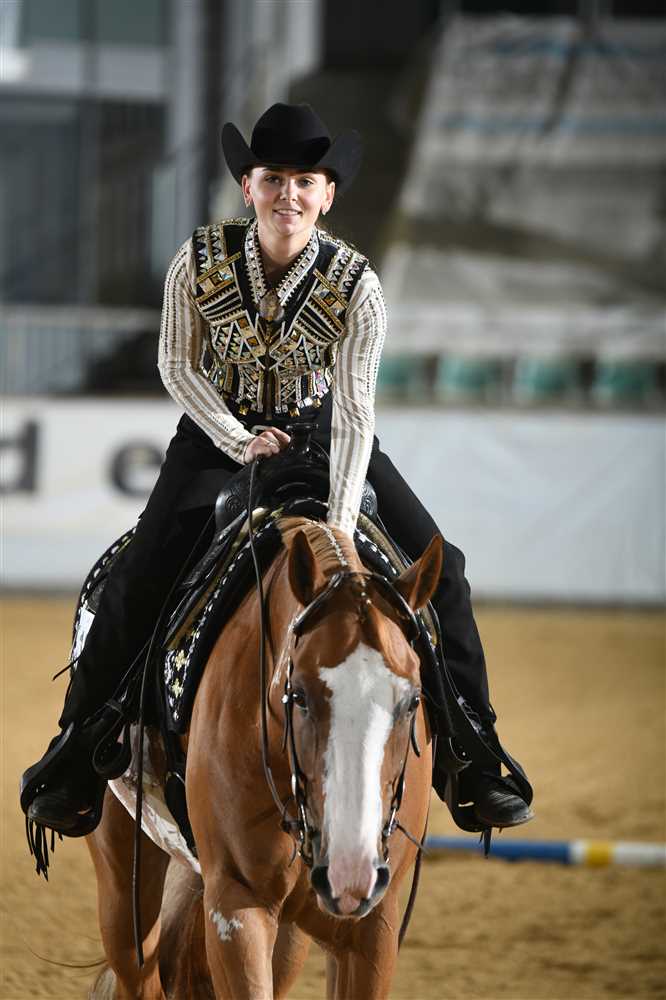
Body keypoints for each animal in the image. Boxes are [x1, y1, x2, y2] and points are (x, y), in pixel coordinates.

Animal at [87, 514, 443, 999]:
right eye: (299, 695)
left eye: (411, 701)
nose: (349, 871)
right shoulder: (236, 905)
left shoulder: (374, 925)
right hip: (124, 888)